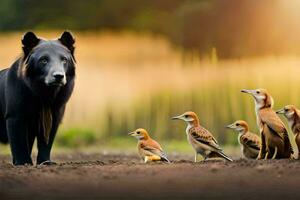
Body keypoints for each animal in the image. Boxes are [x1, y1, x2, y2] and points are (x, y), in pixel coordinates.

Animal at [0, 31, 76, 166]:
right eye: (43, 60)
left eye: (64, 60)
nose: (58, 76)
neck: (45, 92)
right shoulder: (15, 112)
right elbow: (18, 140)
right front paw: (23, 162)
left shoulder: (55, 110)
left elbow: (47, 138)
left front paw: (46, 162)